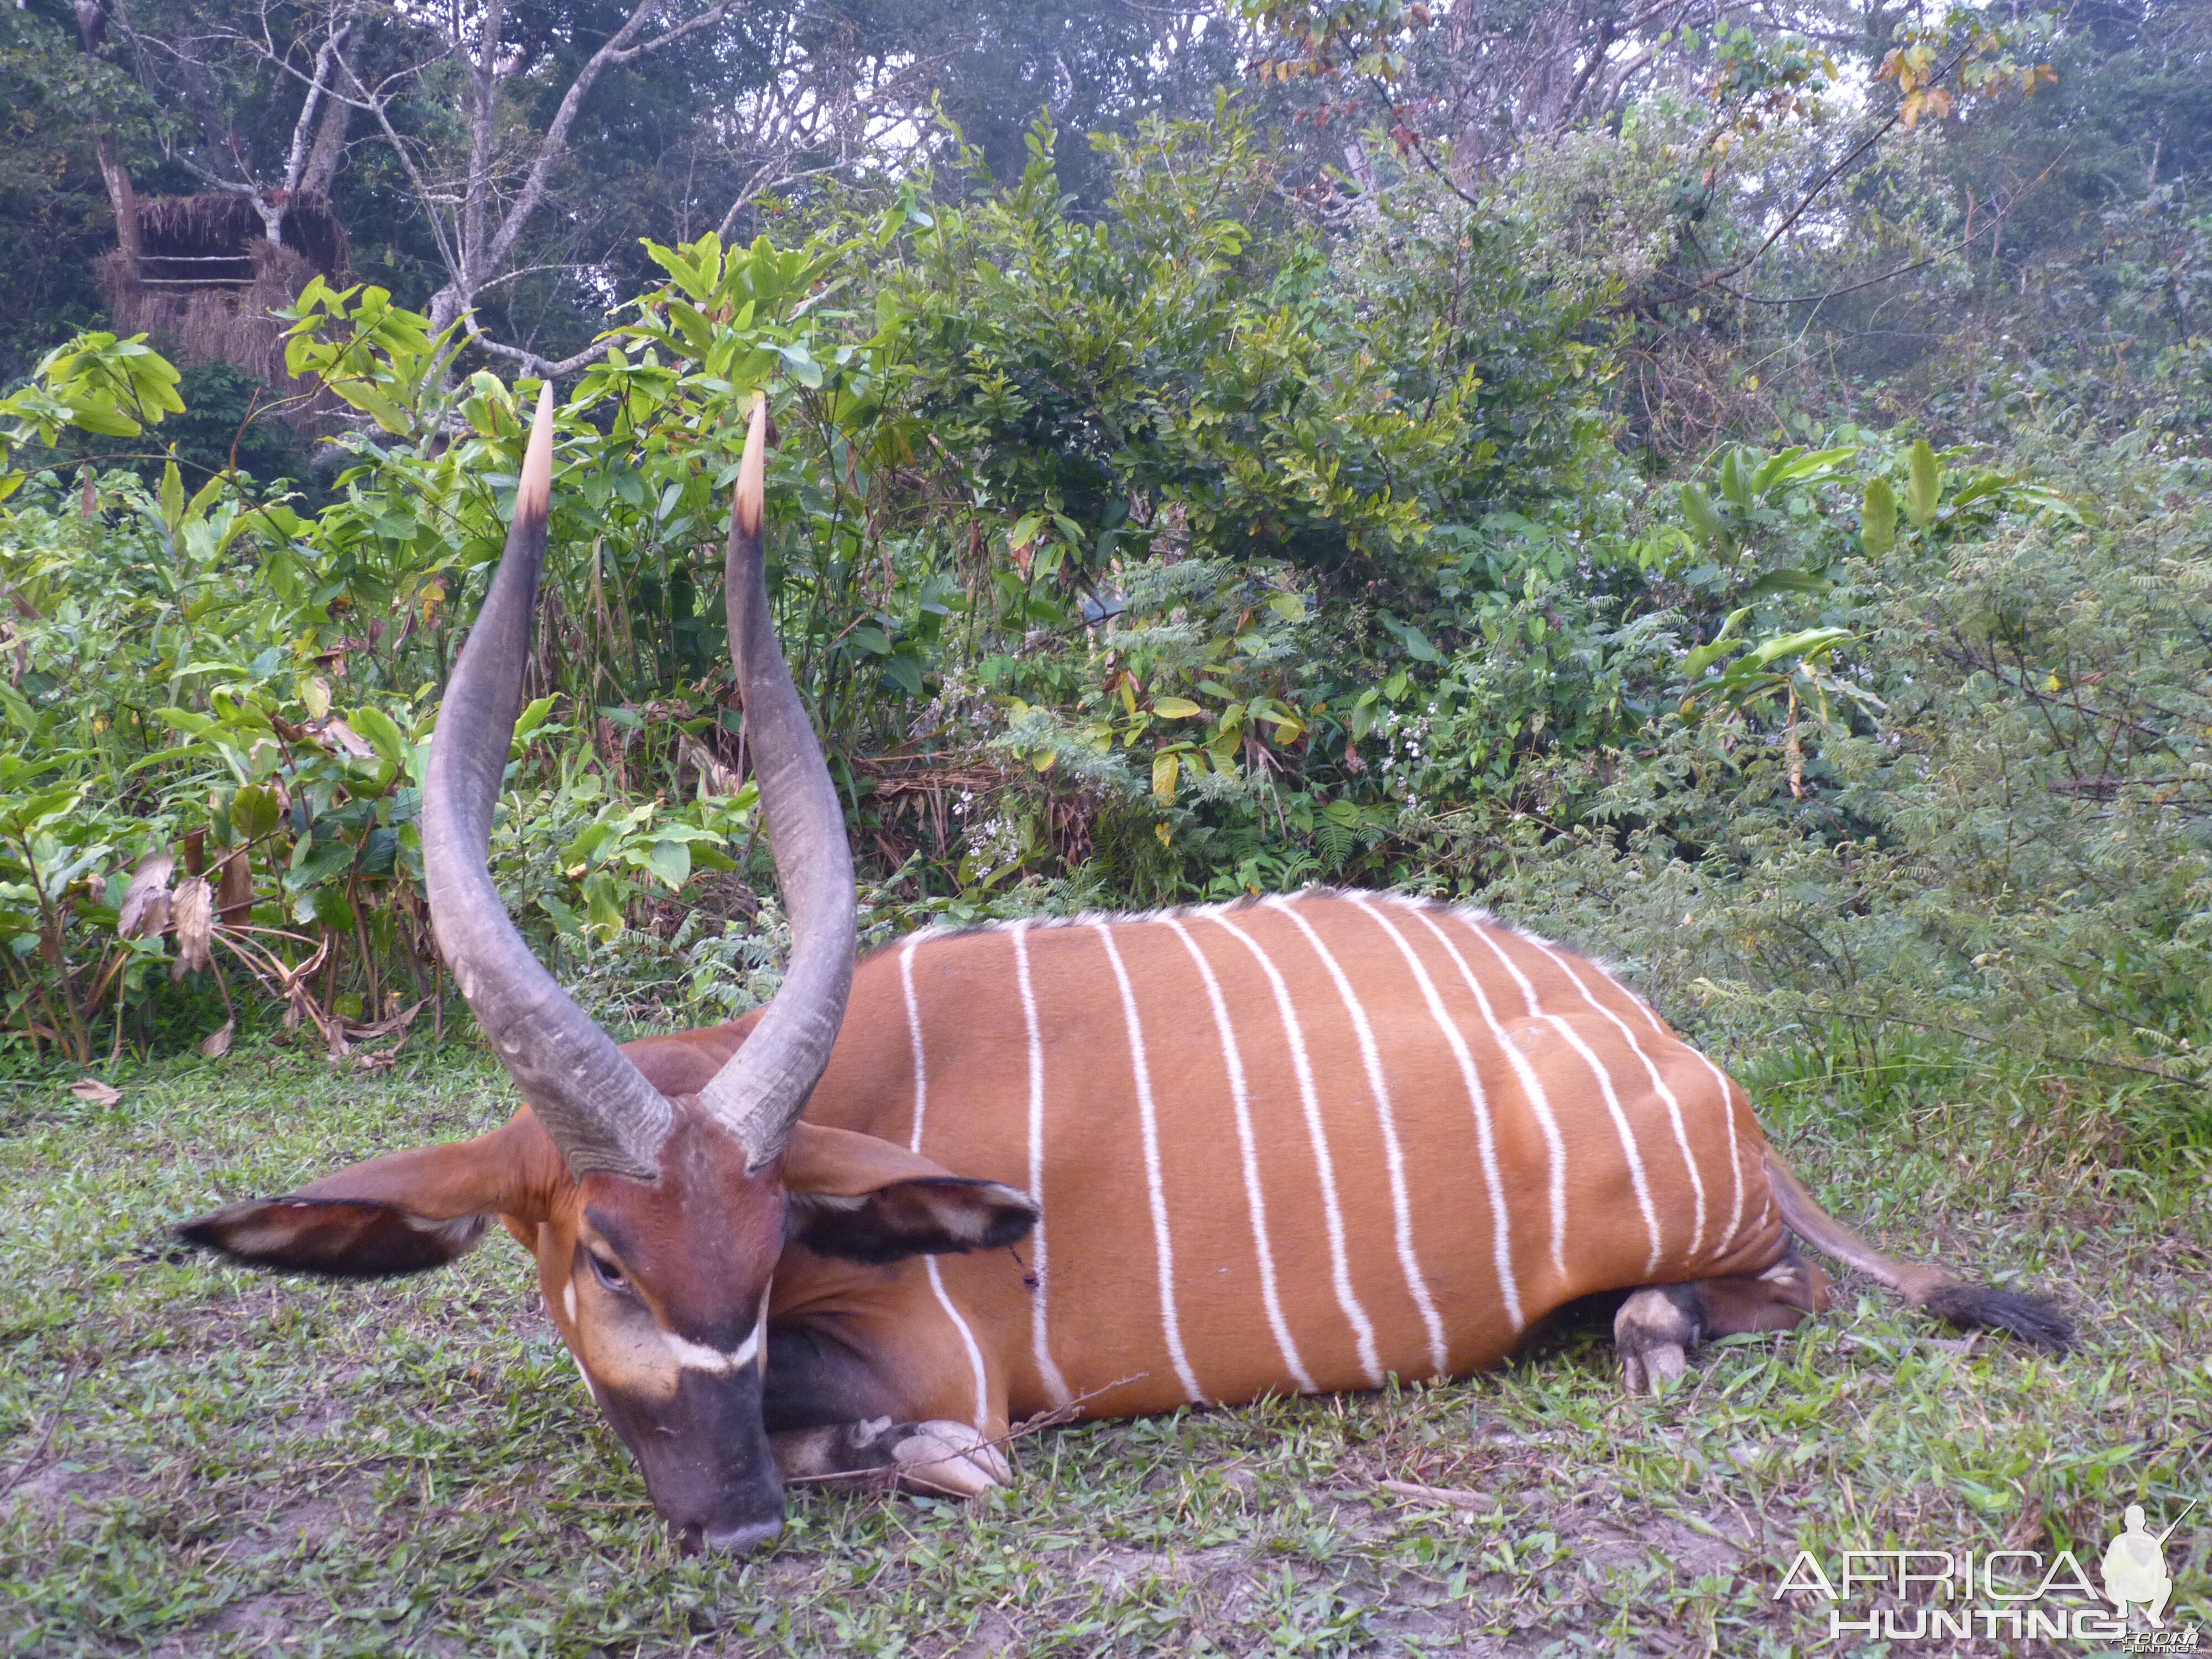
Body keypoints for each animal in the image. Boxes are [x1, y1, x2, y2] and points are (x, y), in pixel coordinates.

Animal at [181, 389, 2062, 1557]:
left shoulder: (931, 1371)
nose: (739, 1523)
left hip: (1705, 1242)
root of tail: (1676, 1051)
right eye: (608, 1260)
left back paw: (1655, 1334)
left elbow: (933, 1440)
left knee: (1777, 1292)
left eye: (775, 1245)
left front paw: (911, 1465)